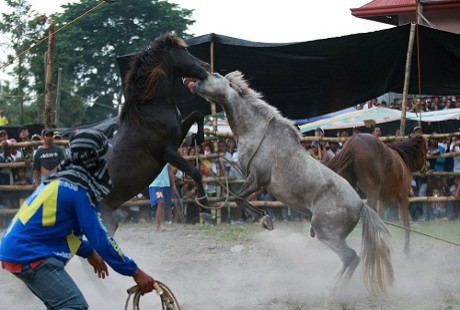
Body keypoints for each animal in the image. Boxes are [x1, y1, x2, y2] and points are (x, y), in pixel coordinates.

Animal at [101, 32, 210, 234]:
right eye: (184, 51)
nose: (206, 66)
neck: (151, 109)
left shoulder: (177, 136)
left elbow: (197, 114)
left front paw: (197, 138)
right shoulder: (166, 152)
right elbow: (195, 172)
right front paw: (205, 207)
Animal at [189, 71, 394, 296]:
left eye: (215, 76)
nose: (195, 82)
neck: (256, 131)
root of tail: (360, 205)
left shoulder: (257, 179)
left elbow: (238, 198)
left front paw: (265, 220)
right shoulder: (252, 180)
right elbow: (240, 199)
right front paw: (264, 218)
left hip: (326, 232)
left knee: (351, 256)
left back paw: (333, 288)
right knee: (352, 258)